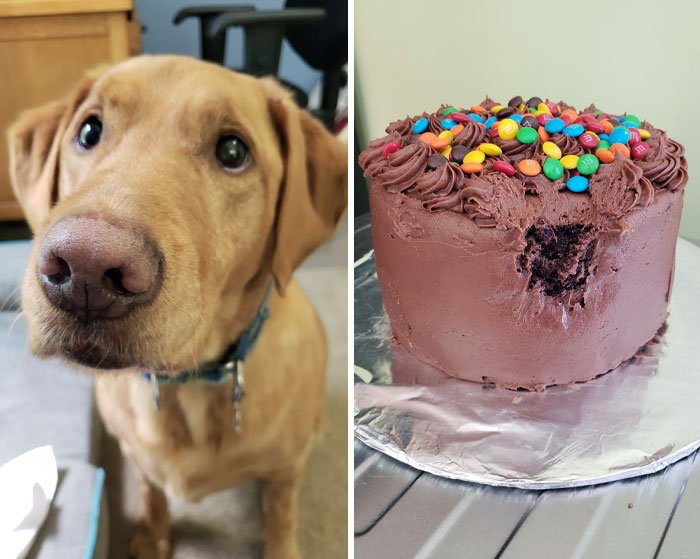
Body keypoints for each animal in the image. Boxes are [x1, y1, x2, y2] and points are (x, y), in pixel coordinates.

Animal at [8, 55, 348, 559]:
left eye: (233, 151)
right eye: (89, 131)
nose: (86, 268)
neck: (187, 384)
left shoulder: (284, 471)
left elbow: (281, 518)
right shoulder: (135, 454)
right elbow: (151, 492)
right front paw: (153, 536)